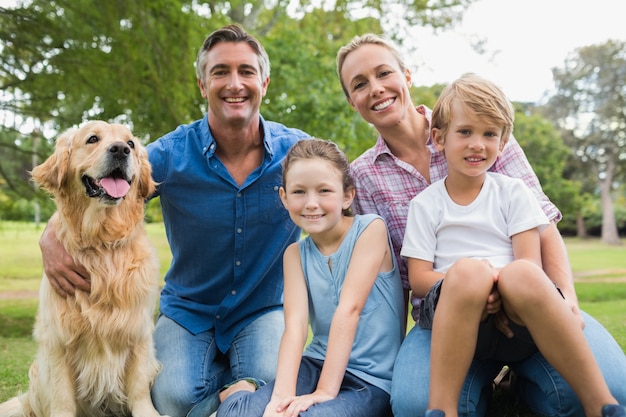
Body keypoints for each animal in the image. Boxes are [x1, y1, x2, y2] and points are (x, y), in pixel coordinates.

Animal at [0, 120, 167, 416]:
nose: (121, 150)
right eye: (92, 139)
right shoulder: (57, 339)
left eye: (131, 143)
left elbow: (138, 388)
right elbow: (62, 396)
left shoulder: (138, 332)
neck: (102, 243)